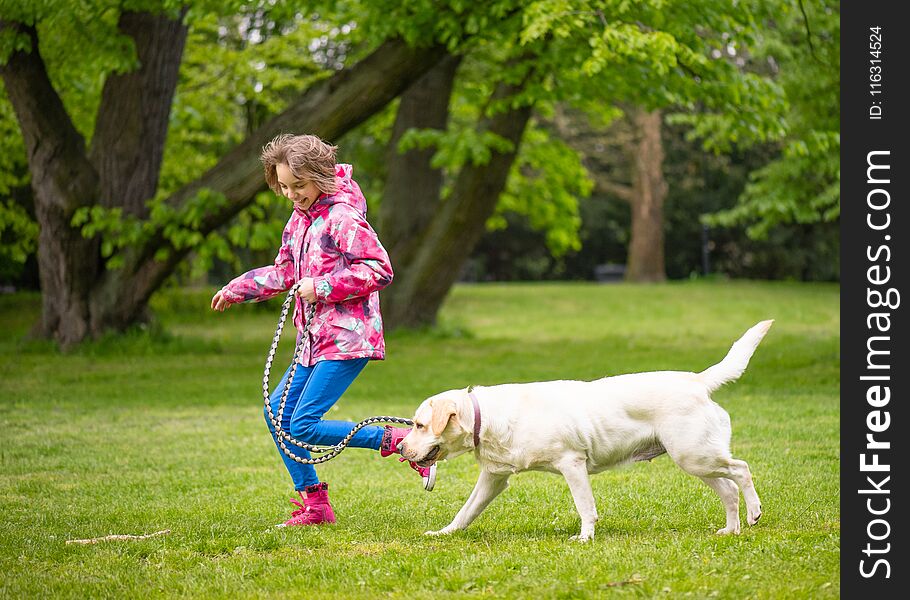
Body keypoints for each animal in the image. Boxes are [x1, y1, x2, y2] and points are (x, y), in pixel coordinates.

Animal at [402, 322, 772, 540]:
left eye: (419, 424)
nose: (402, 448)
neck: (487, 418)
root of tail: (697, 380)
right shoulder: (494, 478)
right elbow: (466, 510)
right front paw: (444, 533)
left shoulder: (572, 463)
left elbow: (585, 507)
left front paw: (584, 538)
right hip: (696, 460)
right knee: (728, 490)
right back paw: (731, 530)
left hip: (695, 455)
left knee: (742, 470)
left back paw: (754, 513)